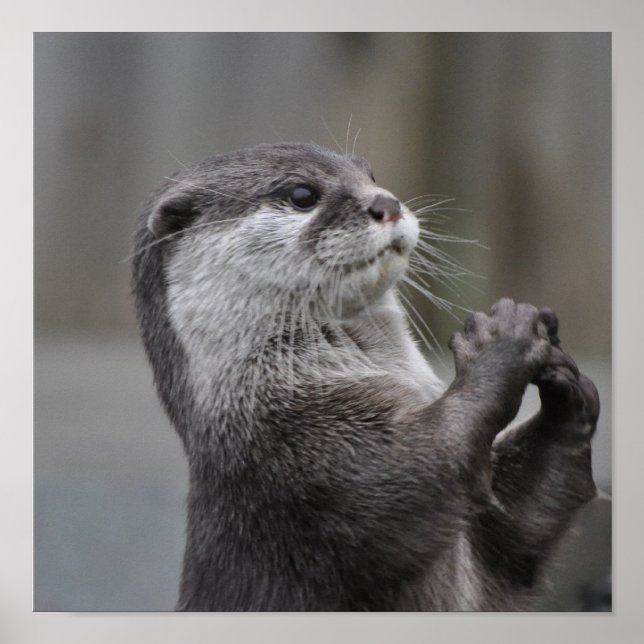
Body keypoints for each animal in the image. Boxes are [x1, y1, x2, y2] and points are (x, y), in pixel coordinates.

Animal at [132, 142, 599, 611]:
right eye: (302, 194)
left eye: (370, 175)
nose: (386, 203)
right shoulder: (310, 466)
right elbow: (428, 466)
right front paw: (502, 340)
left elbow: (518, 536)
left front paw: (566, 391)